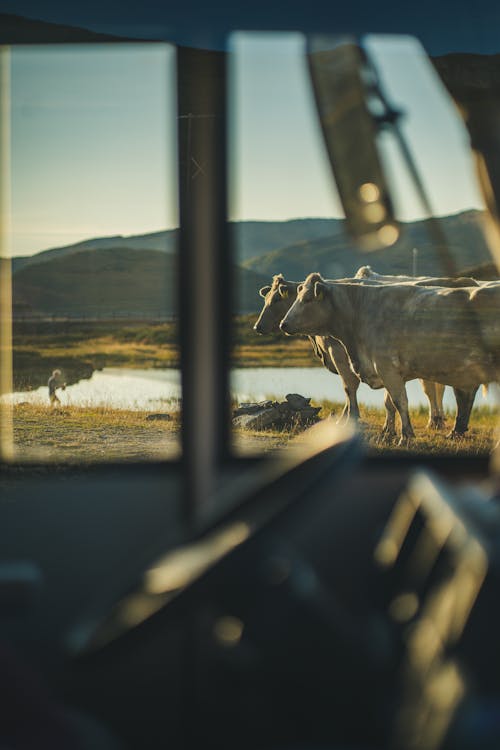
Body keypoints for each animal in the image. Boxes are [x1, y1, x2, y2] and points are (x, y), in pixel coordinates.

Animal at [280, 274, 498, 444]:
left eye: (307, 299)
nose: (284, 324)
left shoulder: (386, 368)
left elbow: (399, 401)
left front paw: (406, 436)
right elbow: (390, 402)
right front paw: (391, 433)